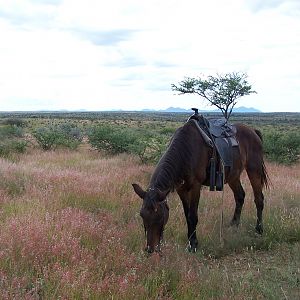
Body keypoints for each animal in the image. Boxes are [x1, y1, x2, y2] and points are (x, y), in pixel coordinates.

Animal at [132, 118, 268, 253]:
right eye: (142, 215)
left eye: (159, 216)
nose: (150, 249)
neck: (185, 151)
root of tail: (253, 131)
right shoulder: (181, 189)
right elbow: (187, 215)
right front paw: (190, 240)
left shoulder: (195, 187)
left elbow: (193, 216)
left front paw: (193, 244)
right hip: (232, 176)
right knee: (240, 196)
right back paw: (234, 225)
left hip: (254, 170)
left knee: (259, 199)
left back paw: (259, 230)